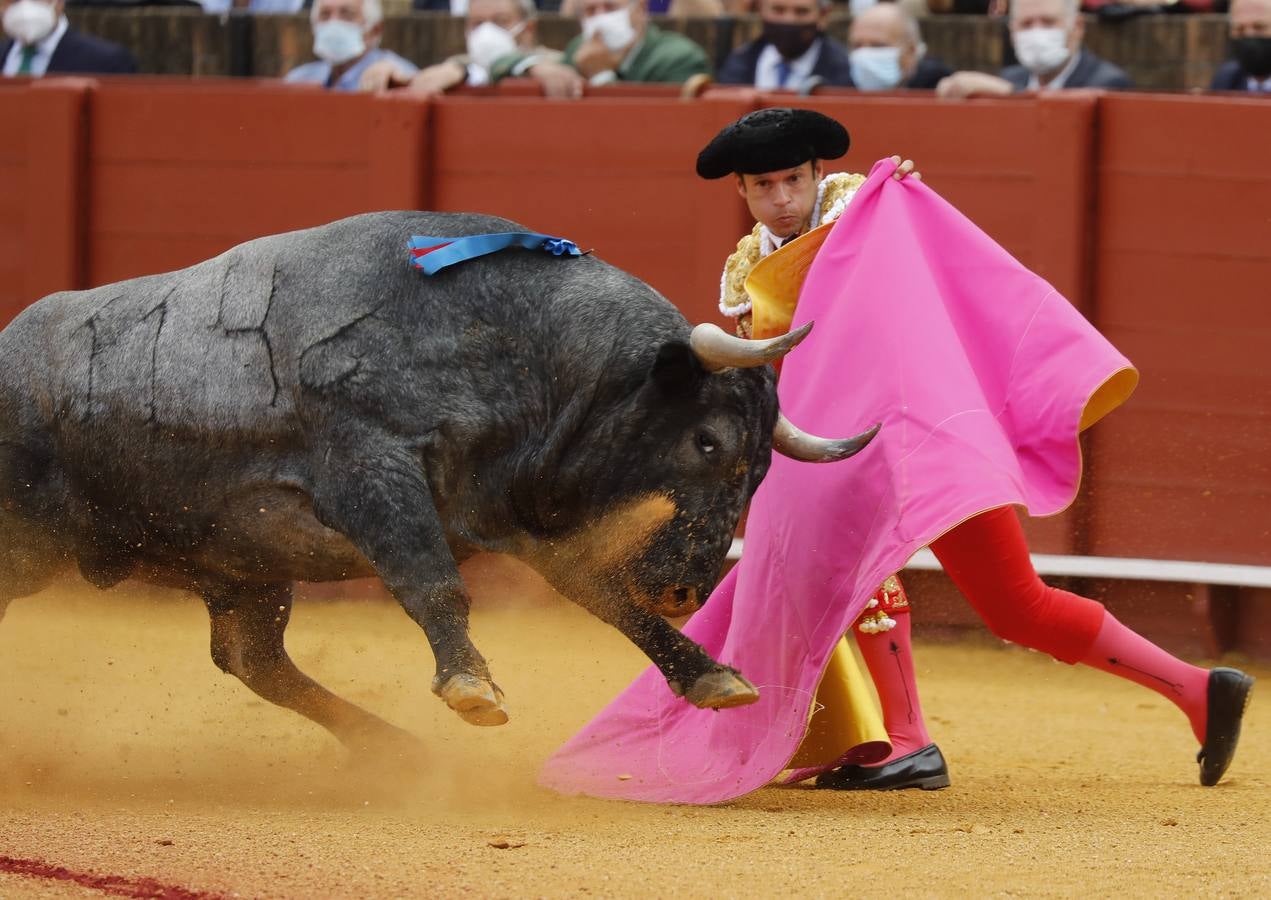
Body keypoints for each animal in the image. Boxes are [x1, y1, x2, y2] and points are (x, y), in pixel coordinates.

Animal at [0, 212, 874, 752]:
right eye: (705, 440)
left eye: (762, 472)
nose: (688, 588)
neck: (513, 346)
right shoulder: (372, 471)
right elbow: (433, 581)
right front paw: (471, 687)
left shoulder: (527, 514)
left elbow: (608, 599)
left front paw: (711, 676)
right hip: (28, 547)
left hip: (240, 569)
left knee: (251, 659)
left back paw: (390, 749)